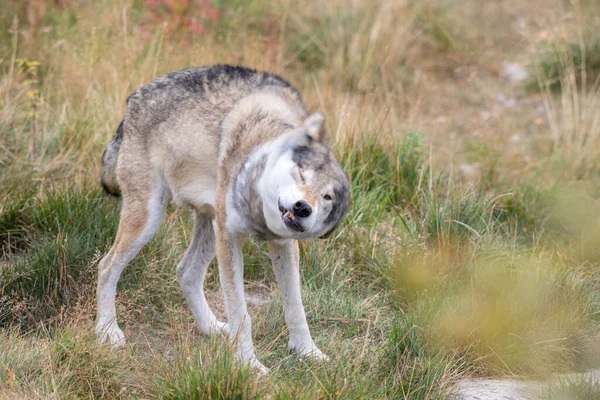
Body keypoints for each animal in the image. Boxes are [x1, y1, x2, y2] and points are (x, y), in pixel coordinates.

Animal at [95, 64, 350, 374]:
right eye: (301, 174)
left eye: (327, 197)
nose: (303, 208)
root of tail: (133, 99)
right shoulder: (230, 238)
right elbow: (241, 313)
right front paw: (250, 366)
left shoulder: (283, 245)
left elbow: (296, 306)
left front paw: (307, 352)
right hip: (149, 220)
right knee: (106, 266)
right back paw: (107, 331)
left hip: (208, 224)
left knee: (186, 271)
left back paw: (211, 328)